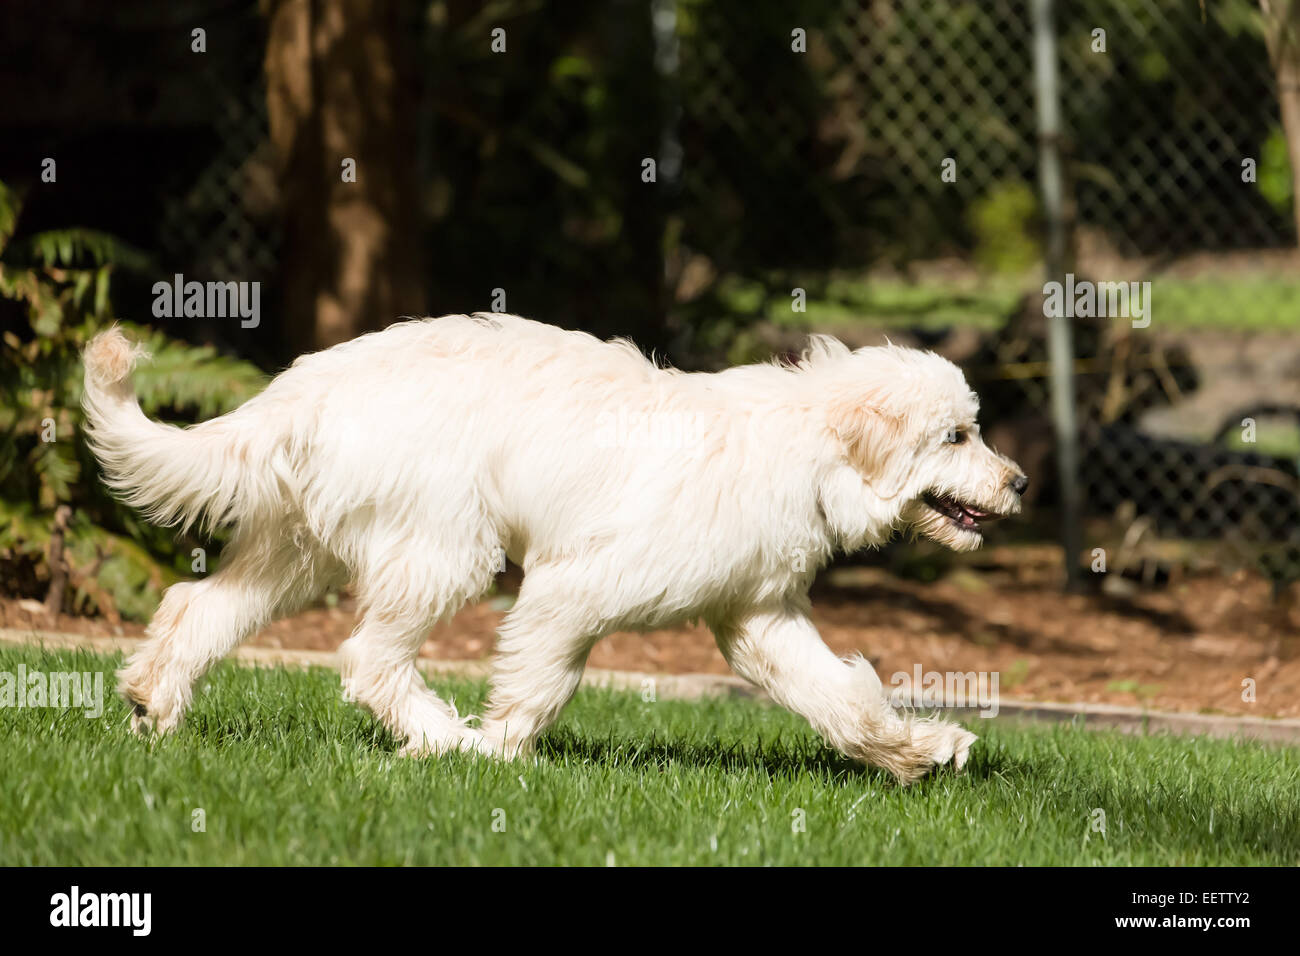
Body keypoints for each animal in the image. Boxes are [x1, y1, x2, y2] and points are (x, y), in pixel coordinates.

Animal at [81, 316, 1024, 785]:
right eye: (956, 434)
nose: (1018, 484)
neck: (805, 445)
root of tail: (300, 389)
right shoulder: (572, 591)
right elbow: (538, 689)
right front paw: (500, 755)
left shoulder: (762, 619)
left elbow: (842, 700)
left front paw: (918, 753)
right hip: (443, 548)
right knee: (367, 662)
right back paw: (445, 742)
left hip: (300, 551)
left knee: (196, 606)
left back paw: (155, 706)